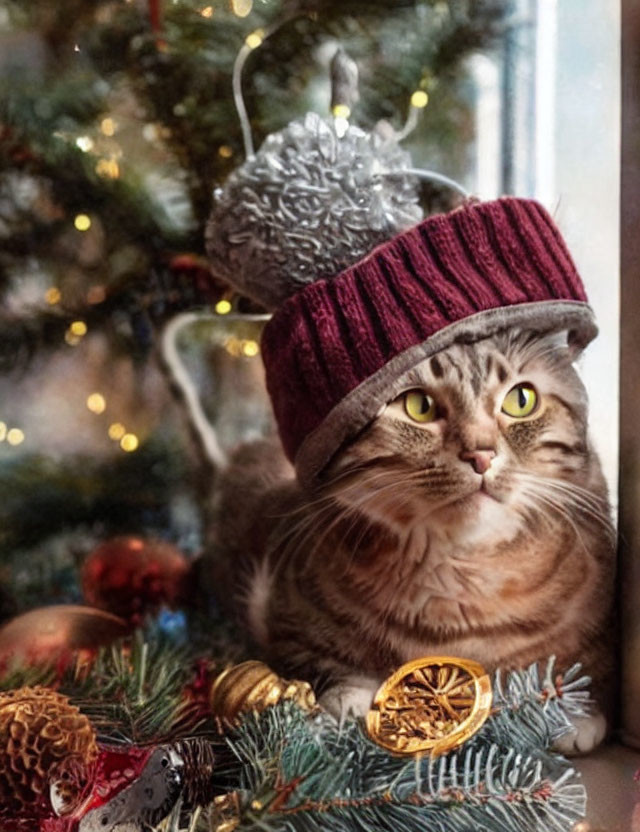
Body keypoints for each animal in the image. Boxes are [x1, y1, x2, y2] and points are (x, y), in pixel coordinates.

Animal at [211, 326, 616, 752]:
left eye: (522, 400)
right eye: (418, 406)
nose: (481, 454)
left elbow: (582, 660)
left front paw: (573, 710)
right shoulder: (284, 615)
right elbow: (325, 661)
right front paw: (350, 698)